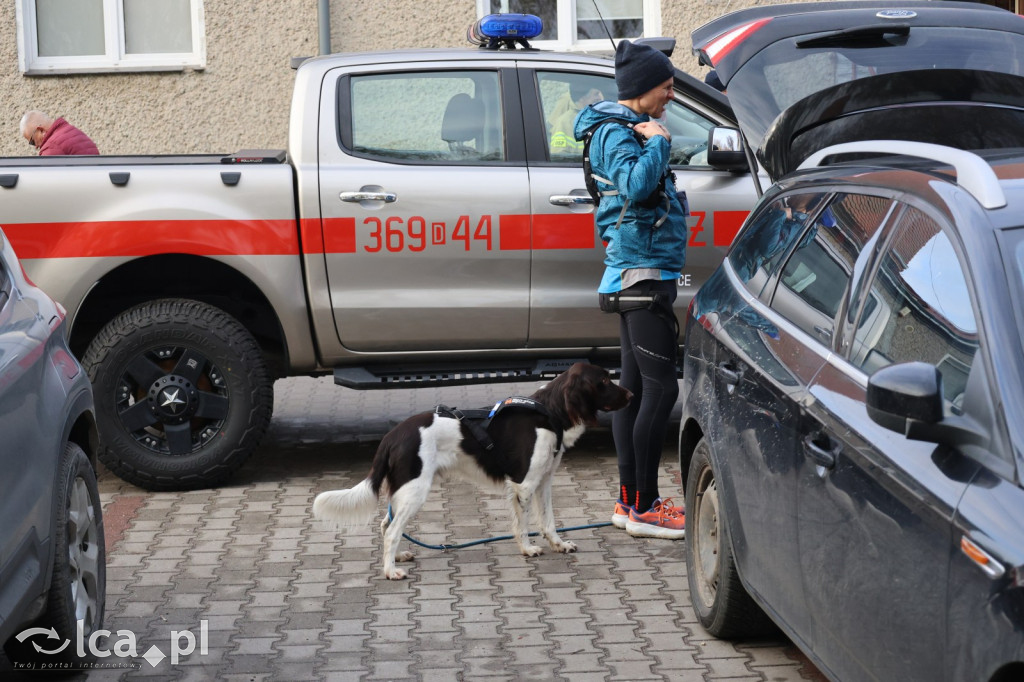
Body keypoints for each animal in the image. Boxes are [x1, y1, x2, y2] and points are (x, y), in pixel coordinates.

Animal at [311, 364, 630, 577]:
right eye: (604, 380)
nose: (631, 393)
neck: (549, 412)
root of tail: (392, 436)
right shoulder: (524, 485)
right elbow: (523, 525)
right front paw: (528, 549)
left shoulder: (544, 482)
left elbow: (548, 522)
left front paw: (559, 545)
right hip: (415, 489)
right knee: (391, 530)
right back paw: (390, 571)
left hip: (403, 489)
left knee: (385, 525)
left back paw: (398, 557)